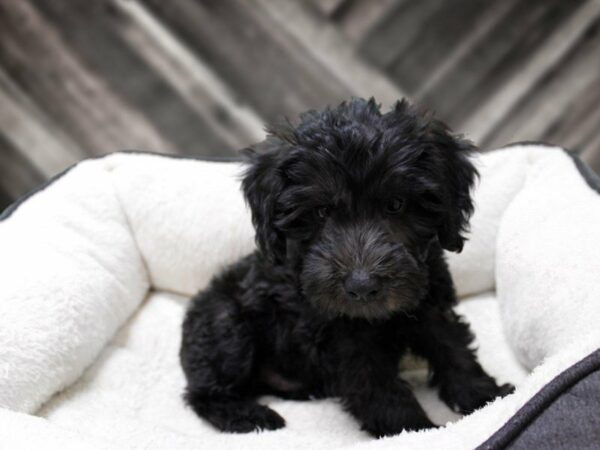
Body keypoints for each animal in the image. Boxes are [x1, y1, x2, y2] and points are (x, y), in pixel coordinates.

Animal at [180, 97, 512, 436]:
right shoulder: (343, 342)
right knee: (204, 393)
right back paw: (252, 416)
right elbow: (379, 388)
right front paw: (414, 430)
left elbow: (453, 349)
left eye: (396, 204)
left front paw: (486, 396)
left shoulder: (432, 305)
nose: (362, 286)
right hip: (227, 327)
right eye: (322, 211)